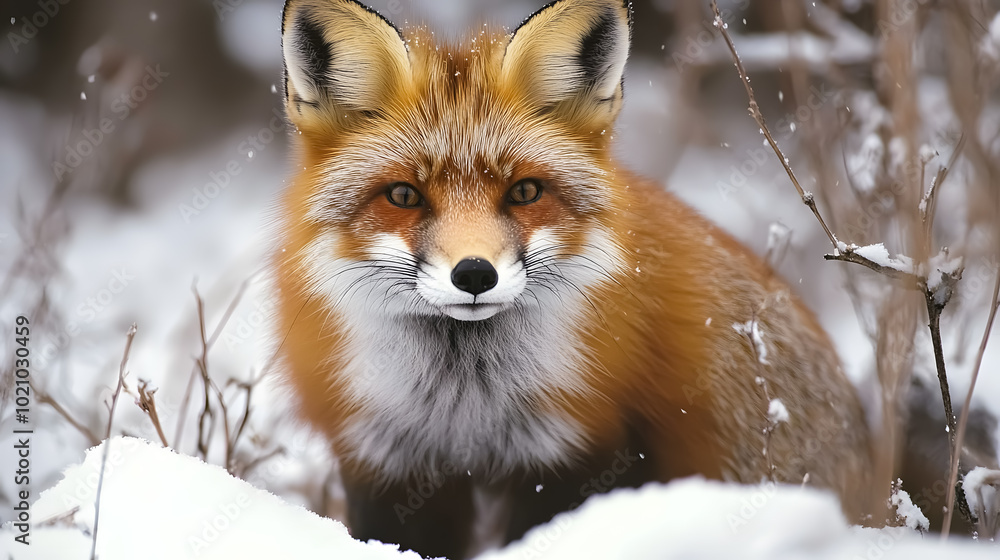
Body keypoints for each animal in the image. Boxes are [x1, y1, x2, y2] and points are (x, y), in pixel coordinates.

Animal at [273, 0, 873, 557]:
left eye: (524, 192)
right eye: (403, 195)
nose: (475, 274)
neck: (465, 406)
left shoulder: (579, 453)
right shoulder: (388, 464)